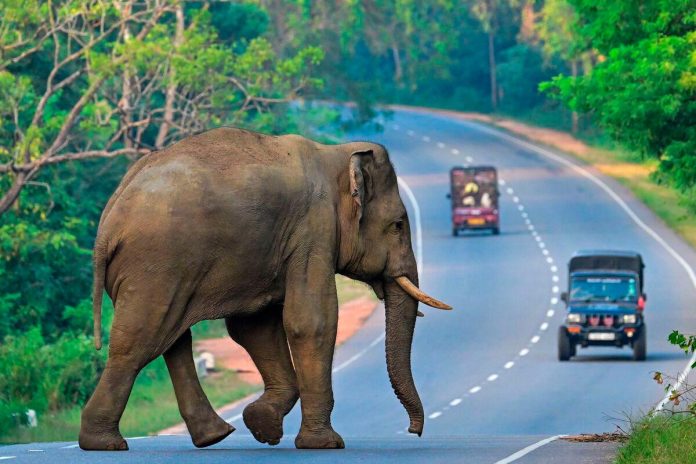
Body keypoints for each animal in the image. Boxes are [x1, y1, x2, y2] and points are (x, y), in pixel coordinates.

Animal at [78, 127, 451, 451]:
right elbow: (310, 321)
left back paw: (214, 436)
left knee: (172, 338)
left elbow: (255, 327)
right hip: (156, 264)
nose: (414, 431)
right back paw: (105, 443)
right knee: (140, 342)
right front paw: (325, 444)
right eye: (398, 225)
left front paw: (262, 426)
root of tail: (108, 221)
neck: (335, 156)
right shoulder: (313, 229)